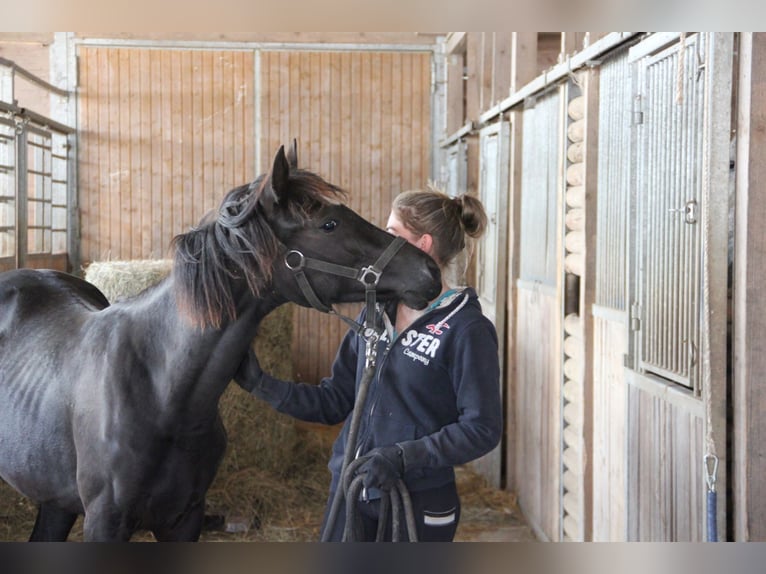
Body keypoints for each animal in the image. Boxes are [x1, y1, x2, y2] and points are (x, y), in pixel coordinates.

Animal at [0, 144, 440, 544]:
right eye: (329, 224)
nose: (430, 271)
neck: (161, 391)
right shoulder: (105, 523)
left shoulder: (185, 519)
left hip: (55, 502)